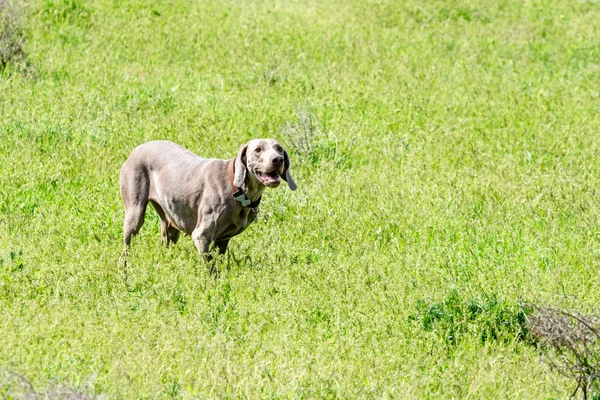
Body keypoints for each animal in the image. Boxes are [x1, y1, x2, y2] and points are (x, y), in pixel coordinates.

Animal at [118, 139, 296, 260]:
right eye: (258, 149)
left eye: (279, 149)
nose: (277, 159)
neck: (236, 189)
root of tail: (137, 148)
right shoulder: (202, 235)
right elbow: (211, 269)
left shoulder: (223, 239)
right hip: (134, 213)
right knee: (126, 249)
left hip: (170, 223)